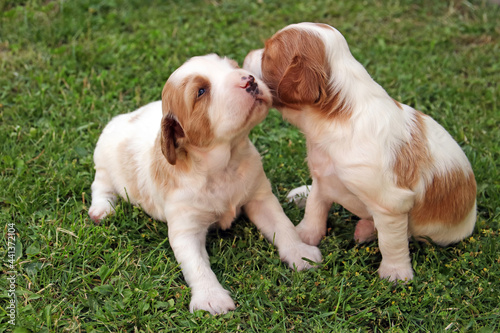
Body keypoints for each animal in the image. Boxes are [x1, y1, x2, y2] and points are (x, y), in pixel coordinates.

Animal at [88, 53, 322, 312]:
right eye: (201, 91)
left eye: (233, 67)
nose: (249, 80)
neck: (224, 163)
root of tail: (124, 117)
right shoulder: (185, 229)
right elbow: (196, 264)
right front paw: (211, 298)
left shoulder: (260, 197)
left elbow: (282, 225)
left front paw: (300, 254)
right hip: (103, 162)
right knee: (100, 186)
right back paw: (102, 209)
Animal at [244, 23, 478, 282]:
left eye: (266, 55)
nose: (246, 56)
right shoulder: (322, 176)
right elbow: (315, 207)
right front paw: (304, 236)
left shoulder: (390, 203)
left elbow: (391, 242)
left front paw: (395, 273)